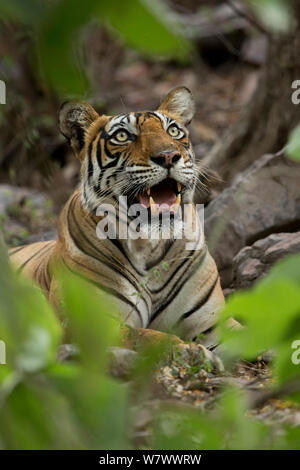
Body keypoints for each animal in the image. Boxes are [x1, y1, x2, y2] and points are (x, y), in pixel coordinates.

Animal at [8, 88, 226, 358]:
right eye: (122, 136)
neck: (151, 247)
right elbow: (147, 337)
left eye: (174, 131)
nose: (168, 156)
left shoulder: (213, 322)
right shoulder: (94, 324)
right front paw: (188, 351)